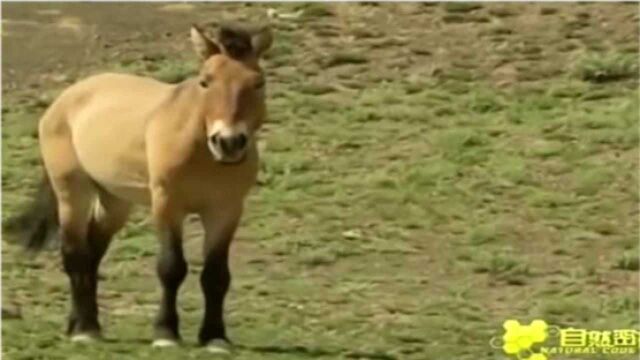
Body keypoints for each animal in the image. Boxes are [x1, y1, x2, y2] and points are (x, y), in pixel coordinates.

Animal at [8, 23, 272, 354]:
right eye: (205, 82)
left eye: (258, 82)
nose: (229, 142)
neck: (199, 149)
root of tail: (66, 99)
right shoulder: (167, 205)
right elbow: (171, 267)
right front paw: (166, 333)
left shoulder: (226, 211)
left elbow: (216, 275)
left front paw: (215, 337)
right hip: (71, 192)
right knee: (75, 254)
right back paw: (83, 330)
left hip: (114, 202)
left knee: (92, 254)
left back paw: (84, 323)